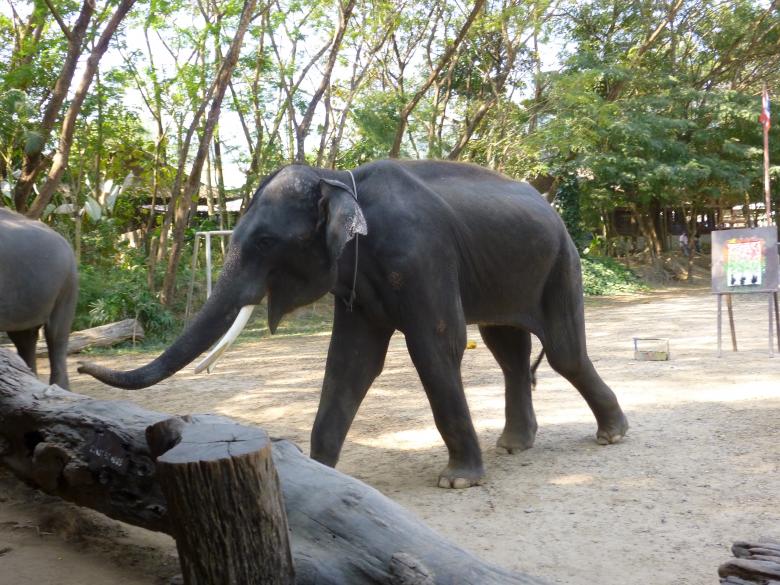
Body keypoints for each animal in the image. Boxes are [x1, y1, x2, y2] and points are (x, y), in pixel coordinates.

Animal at [79, 160, 629, 488]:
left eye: (263, 243)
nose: (82, 366)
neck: (340, 178)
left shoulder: (423, 256)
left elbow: (437, 347)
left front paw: (458, 481)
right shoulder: (357, 283)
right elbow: (350, 361)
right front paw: (322, 474)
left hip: (562, 263)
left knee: (563, 352)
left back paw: (612, 436)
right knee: (508, 351)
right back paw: (515, 445)